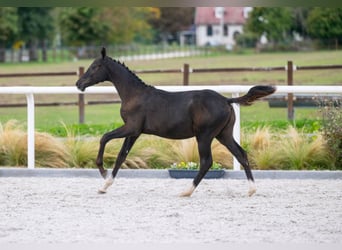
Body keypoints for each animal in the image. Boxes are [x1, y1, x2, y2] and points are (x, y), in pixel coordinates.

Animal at [77, 48, 276, 197]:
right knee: (241, 154)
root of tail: (226, 100)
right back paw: (251, 190)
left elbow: (105, 137)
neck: (135, 94)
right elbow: (121, 156)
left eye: (95, 66)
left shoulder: (131, 127)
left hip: (204, 136)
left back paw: (186, 191)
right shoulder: (134, 132)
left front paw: (102, 171)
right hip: (223, 134)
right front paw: (104, 186)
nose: (79, 84)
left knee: (207, 162)